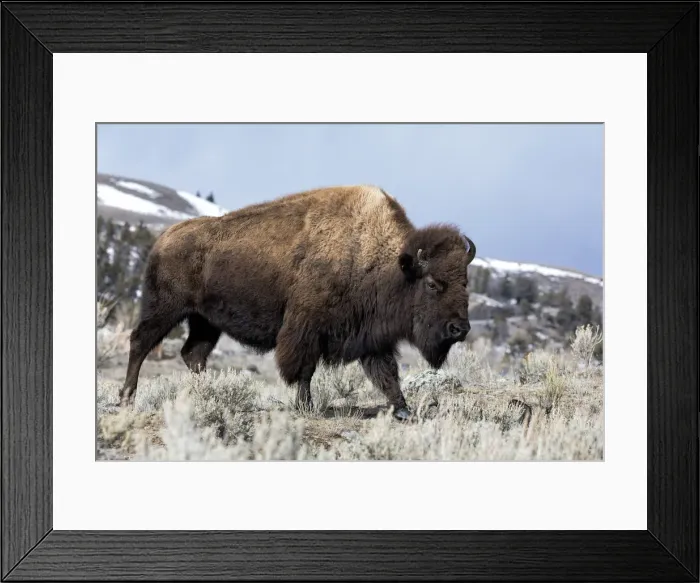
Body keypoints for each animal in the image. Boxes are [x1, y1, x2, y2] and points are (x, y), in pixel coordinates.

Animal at [119, 185, 476, 420]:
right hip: (165, 309)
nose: (459, 328)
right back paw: (126, 399)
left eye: (465, 282)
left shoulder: (371, 336)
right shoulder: (305, 329)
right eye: (432, 283)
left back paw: (204, 395)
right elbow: (304, 370)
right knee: (140, 342)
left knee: (193, 354)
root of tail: (163, 239)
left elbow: (387, 373)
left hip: (205, 322)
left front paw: (403, 410)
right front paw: (305, 406)